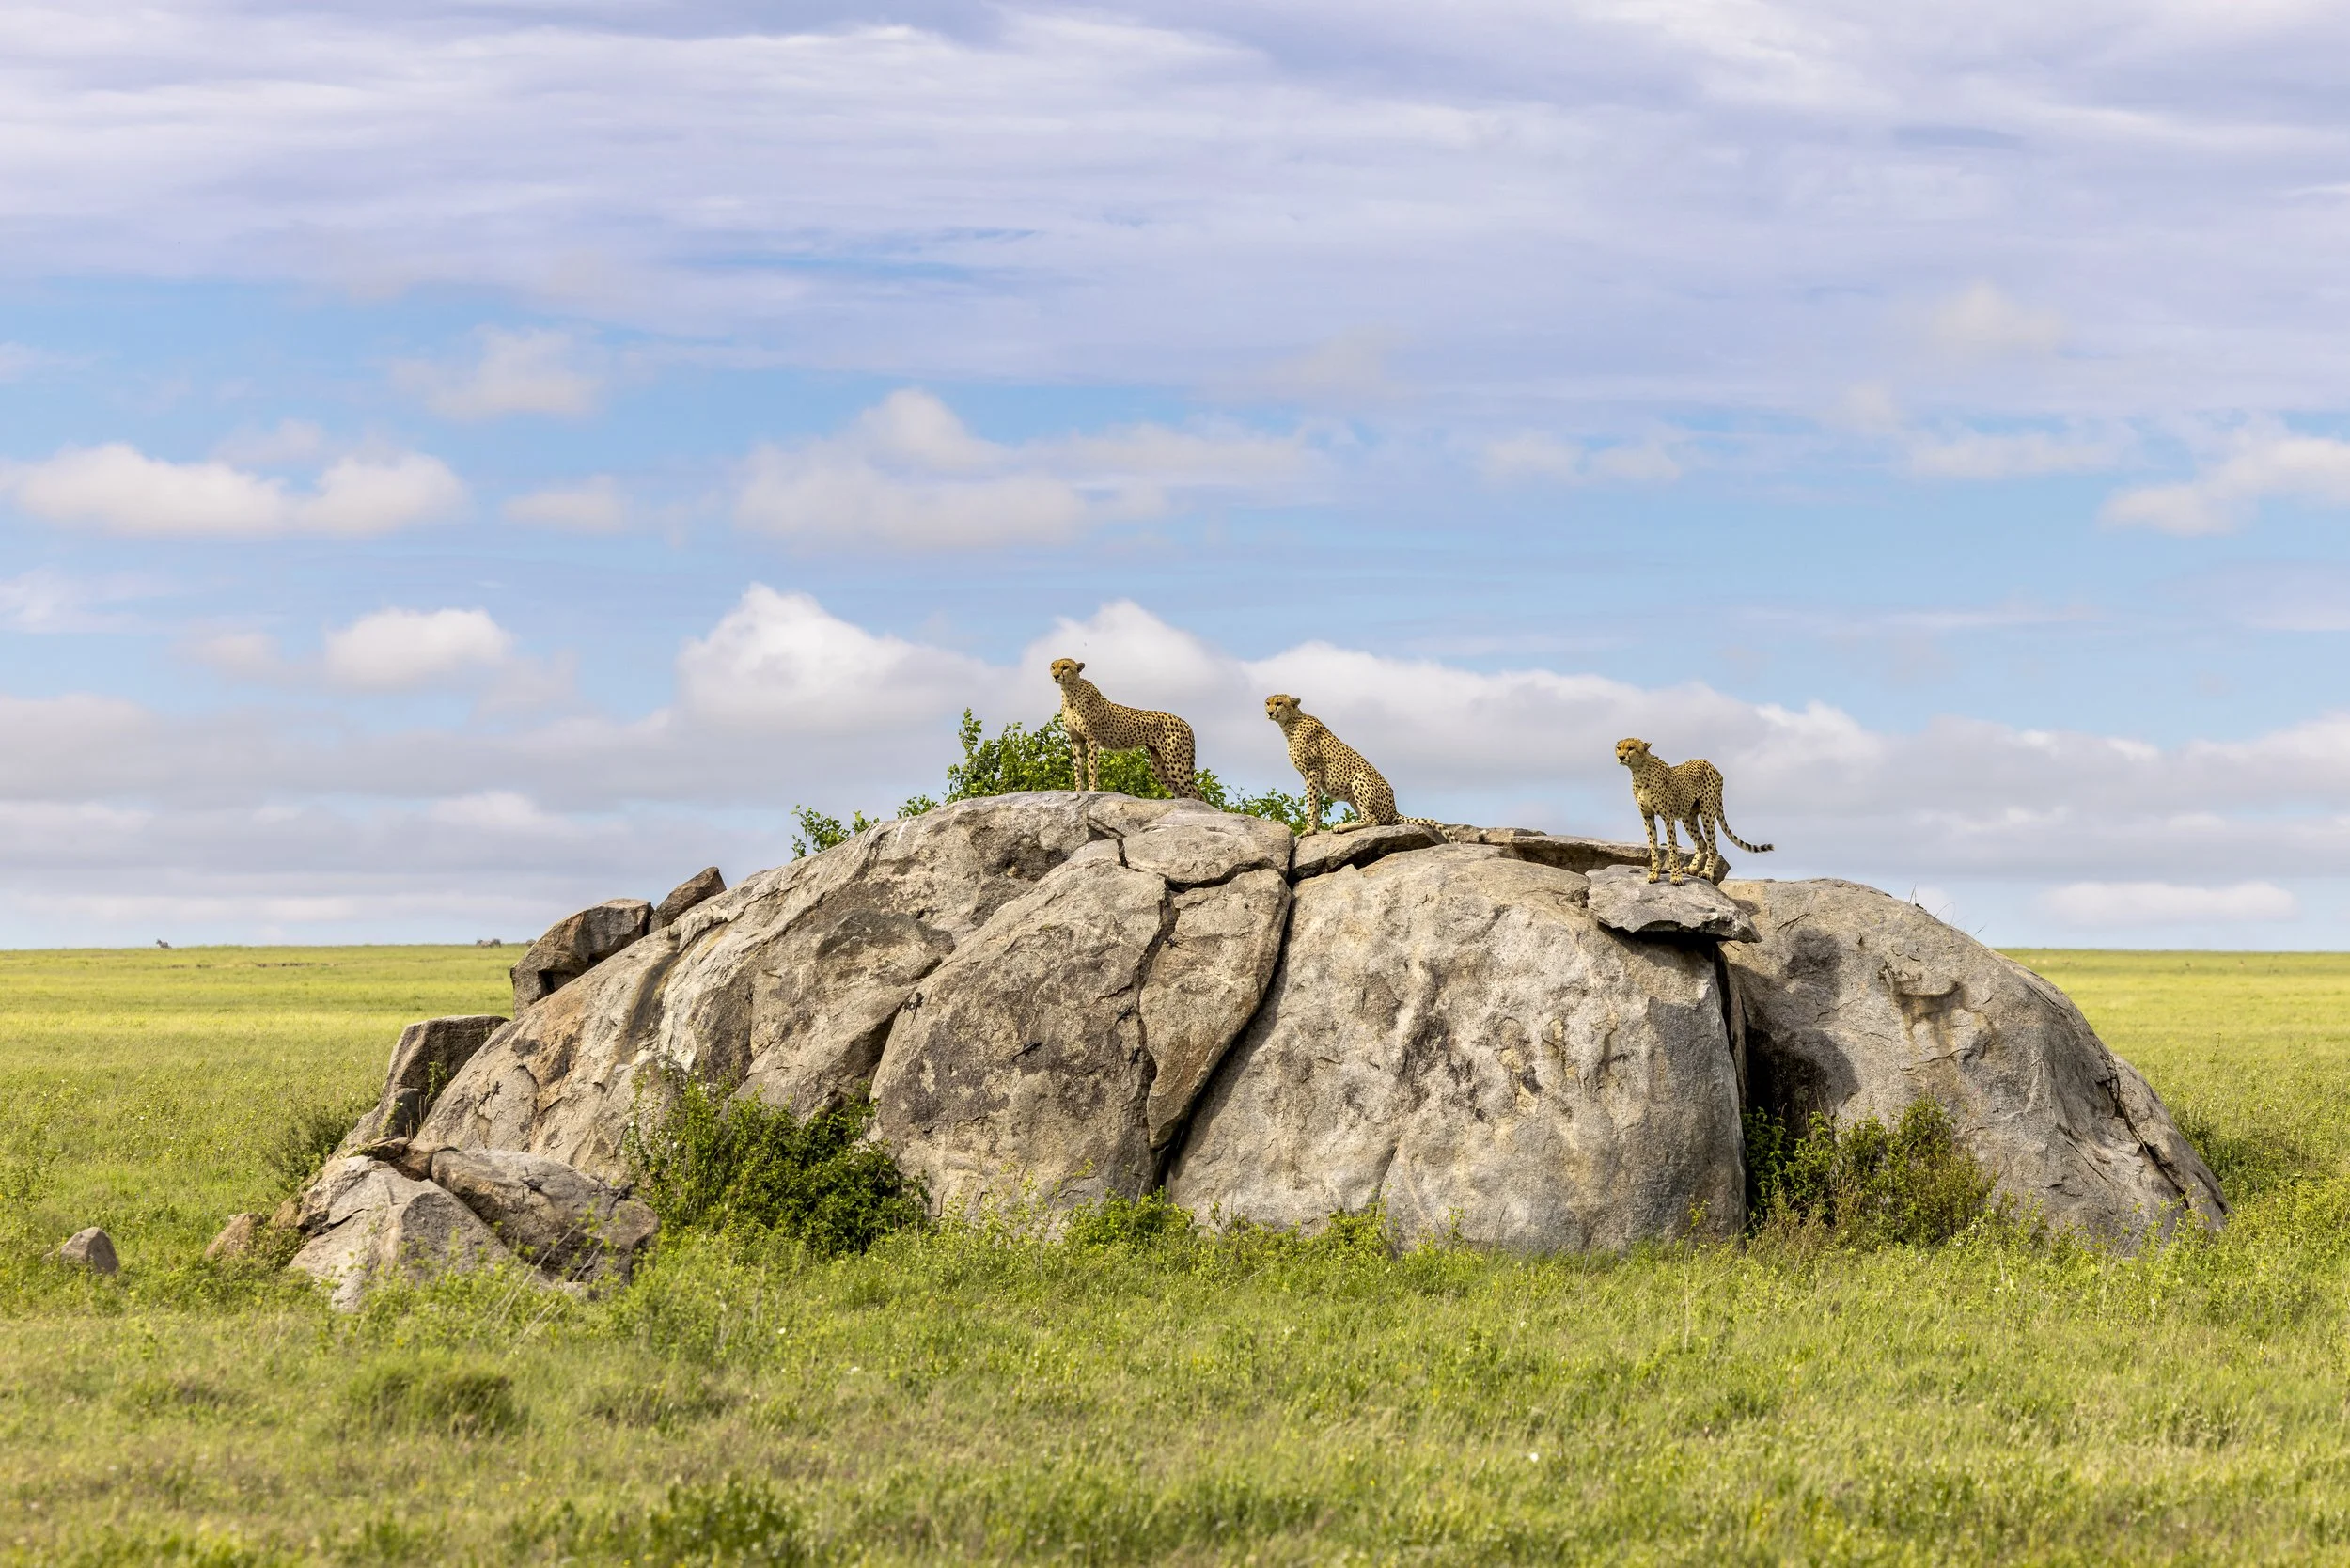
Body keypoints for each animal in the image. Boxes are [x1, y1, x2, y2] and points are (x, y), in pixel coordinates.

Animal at [1049, 658, 1203, 800]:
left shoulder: (1093, 738)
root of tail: (1185, 723)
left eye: (1065, 667)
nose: (1055, 676)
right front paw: (1078, 791)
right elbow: (1078, 768)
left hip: (1175, 764)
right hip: (1159, 766)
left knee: (1197, 795)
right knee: (1181, 793)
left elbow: (1092, 768)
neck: (1069, 691)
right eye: (1053, 667)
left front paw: (1092, 791)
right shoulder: (1076, 740)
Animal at [1265, 694, 1446, 835]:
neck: (1290, 723)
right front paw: (1314, 828)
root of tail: (1394, 810)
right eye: (1268, 702)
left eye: (1279, 703)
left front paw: (1309, 829)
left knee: (1372, 819)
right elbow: (1315, 802)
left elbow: (1311, 802)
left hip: (1360, 777)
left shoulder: (1313, 771)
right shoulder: (1309, 775)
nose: (1269, 712)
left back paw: (1343, 826)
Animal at [1614, 737, 1773, 885]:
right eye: (1618, 748)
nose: (1621, 757)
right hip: (1688, 818)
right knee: (1702, 843)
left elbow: (1672, 846)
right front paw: (1654, 874)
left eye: (1631, 748)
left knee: (1712, 847)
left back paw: (1707, 873)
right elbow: (1652, 845)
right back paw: (1692, 868)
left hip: (1707, 812)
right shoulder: (1647, 816)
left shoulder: (1668, 816)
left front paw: (1676, 876)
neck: (1639, 770)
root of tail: (1709, 763)